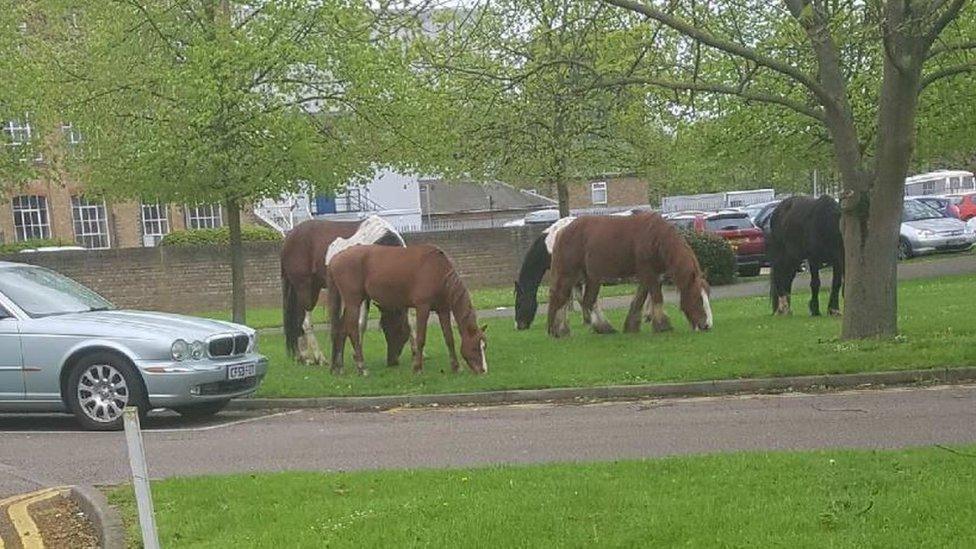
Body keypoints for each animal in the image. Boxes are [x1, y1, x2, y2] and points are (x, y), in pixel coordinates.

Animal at [280, 216, 410, 366]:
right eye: (388, 327)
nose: (392, 361)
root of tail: (289, 237)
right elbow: (359, 323)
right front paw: (357, 356)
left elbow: (362, 323)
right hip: (305, 288)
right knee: (304, 321)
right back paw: (318, 357)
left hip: (310, 288)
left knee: (297, 319)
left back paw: (303, 356)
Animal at [328, 245, 488, 376]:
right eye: (475, 347)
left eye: (484, 346)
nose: (483, 370)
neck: (437, 270)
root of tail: (335, 258)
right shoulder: (422, 308)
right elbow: (421, 338)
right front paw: (417, 368)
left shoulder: (443, 310)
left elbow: (449, 338)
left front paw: (456, 367)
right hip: (353, 302)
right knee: (352, 331)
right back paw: (362, 367)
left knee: (341, 330)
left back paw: (339, 367)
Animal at [544, 212, 712, 336]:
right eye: (698, 298)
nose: (707, 325)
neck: (655, 237)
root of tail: (561, 231)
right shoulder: (649, 274)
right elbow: (657, 297)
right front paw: (662, 325)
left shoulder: (649, 275)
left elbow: (640, 298)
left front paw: (632, 326)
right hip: (569, 274)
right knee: (561, 297)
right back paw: (559, 330)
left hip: (592, 277)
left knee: (586, 300)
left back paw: (602, 328)